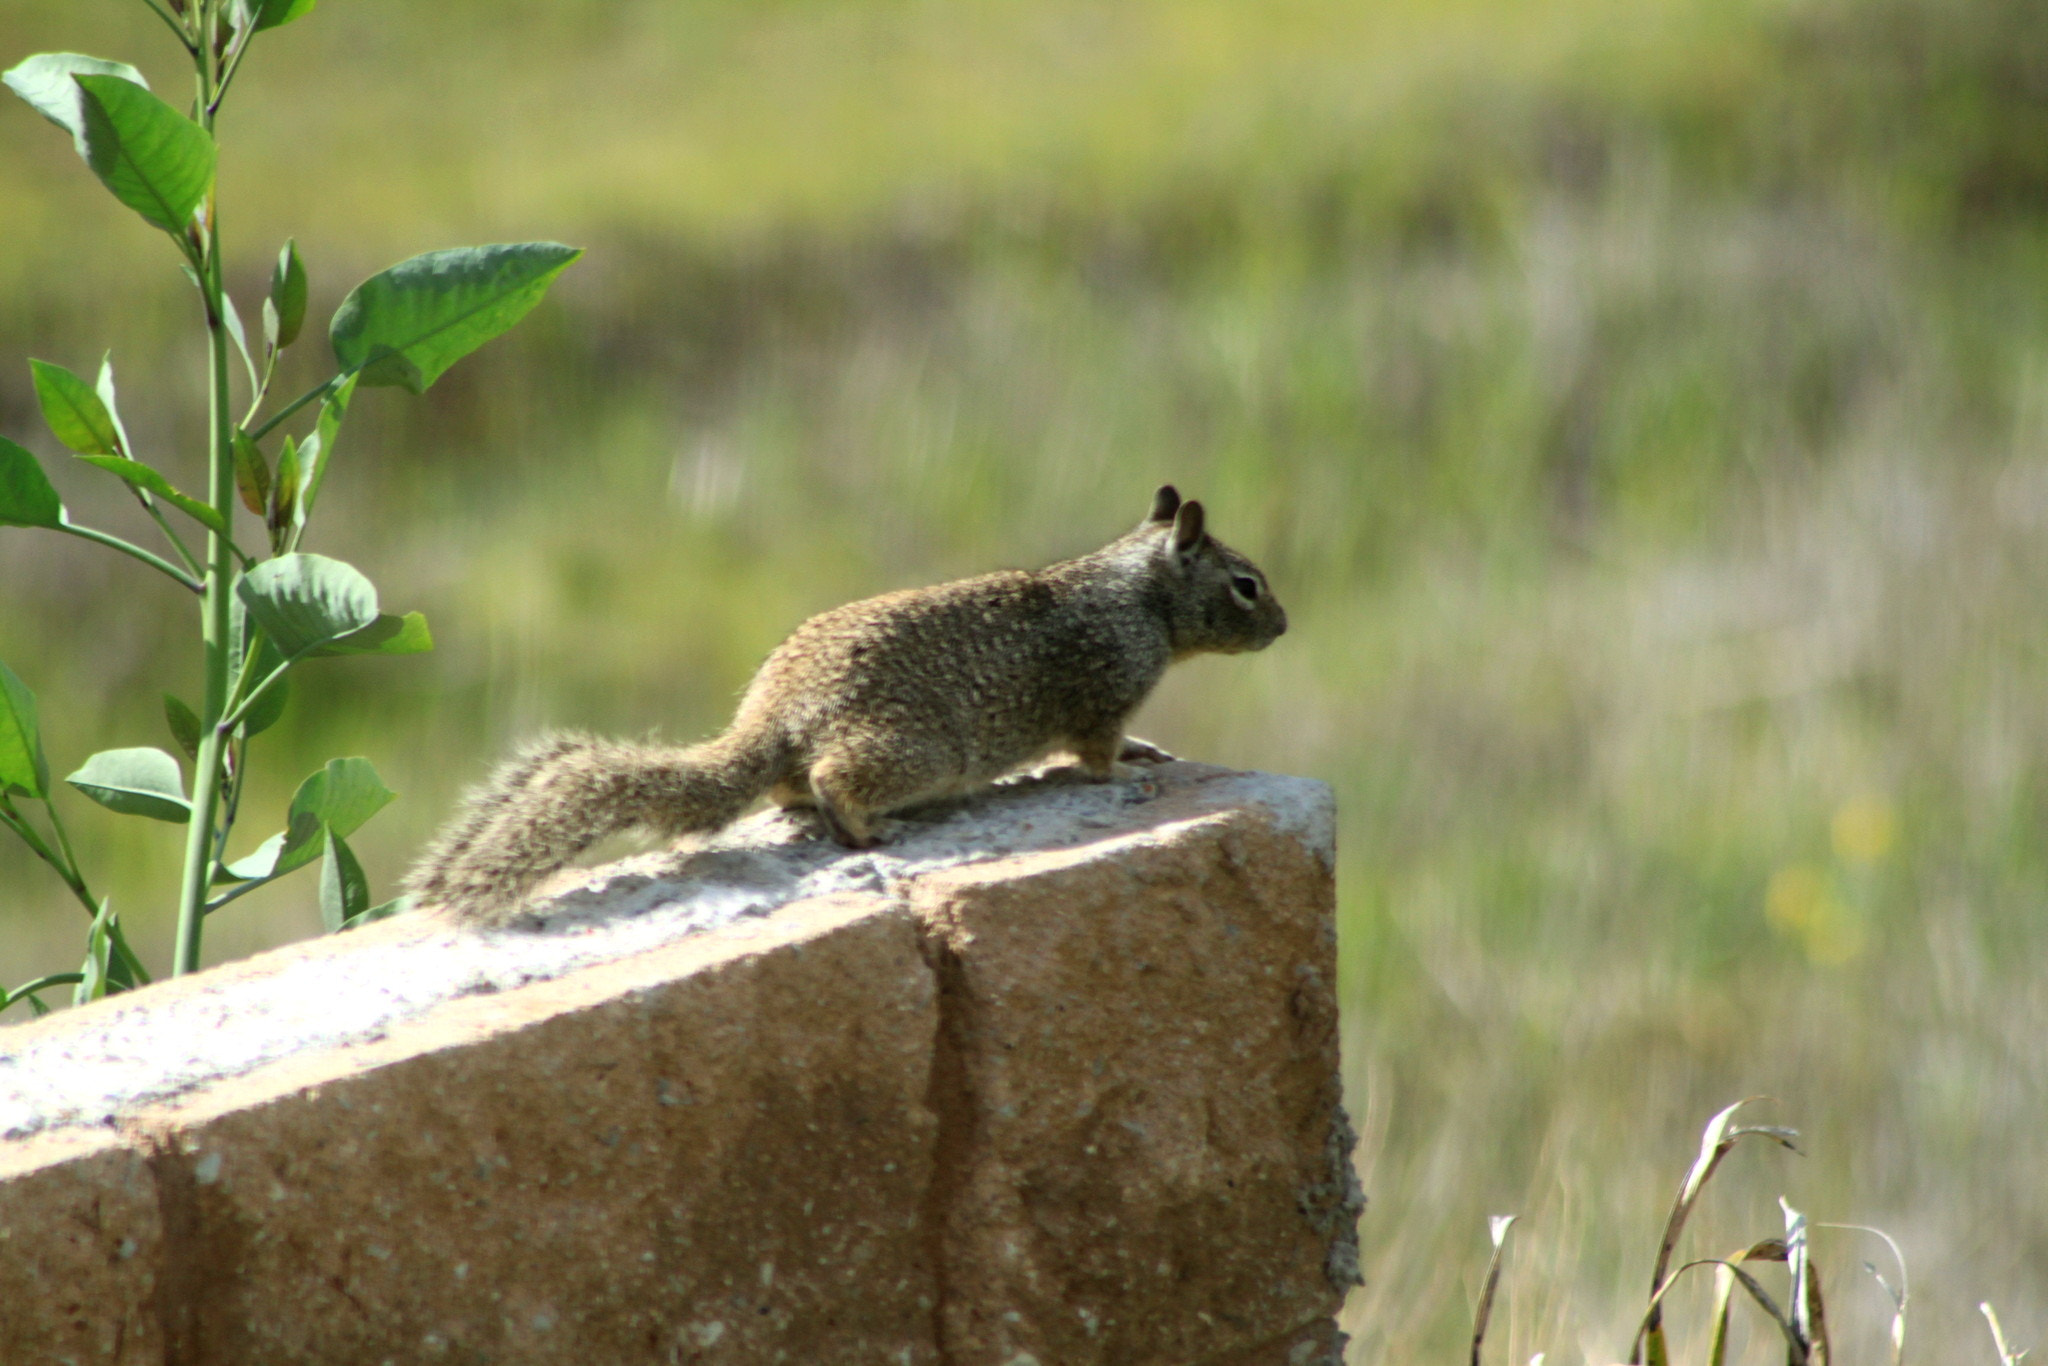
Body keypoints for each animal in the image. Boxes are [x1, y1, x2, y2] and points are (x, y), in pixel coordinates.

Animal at [405, 485, 1286, 926]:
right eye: (1246, 585)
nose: (1283, 626)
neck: (1135, 594)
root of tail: (772, 716)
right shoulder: (1105, 689)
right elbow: (1098, 751)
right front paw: (1129, 772)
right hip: (916, 749)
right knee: (835, 779)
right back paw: (868, 828)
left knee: (788, 788)